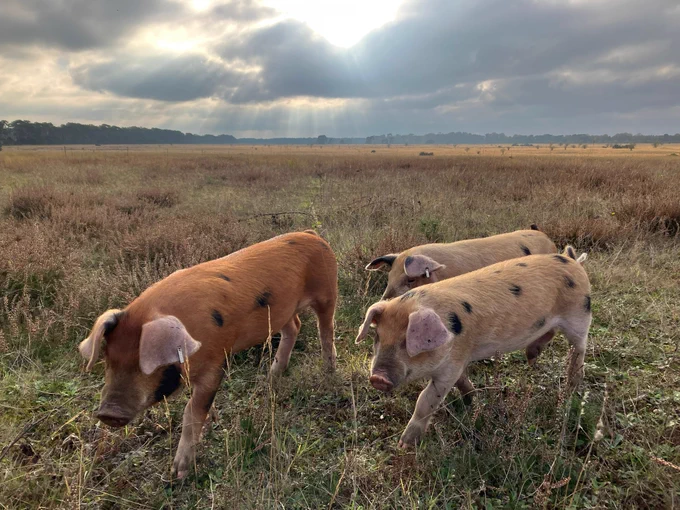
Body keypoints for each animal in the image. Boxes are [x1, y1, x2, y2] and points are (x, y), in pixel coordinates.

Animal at [78, 230, 337, 478]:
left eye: (146, 362)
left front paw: (178, 472)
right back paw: (272, 375)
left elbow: (191, 410)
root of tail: (312, 234)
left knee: (325, 331)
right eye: (108, 358)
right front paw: (212, 421)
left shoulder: (216, 363)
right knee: (294, 326)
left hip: (327, 292)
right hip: (282, 311)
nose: (108, 412)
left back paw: (329, 371)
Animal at [356, 246, 590, 448]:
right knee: (549, 333)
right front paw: (472, 398)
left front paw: (404, 445)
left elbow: (425, 401)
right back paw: (531, 358)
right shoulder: (458, 361)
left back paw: (573, 384)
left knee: (579, 349)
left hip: (579, 315)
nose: (377, 378)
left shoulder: (451, 366)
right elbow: (462, 382)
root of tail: (573, 261)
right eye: (378, 336)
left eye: (407, 342)